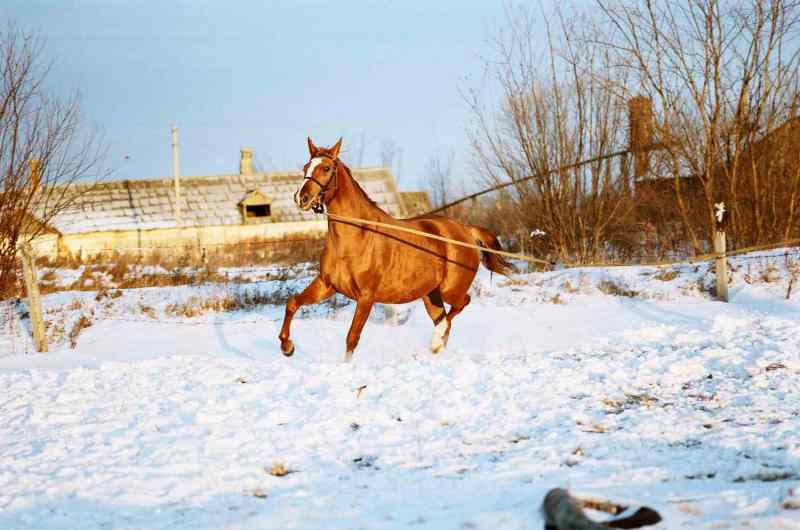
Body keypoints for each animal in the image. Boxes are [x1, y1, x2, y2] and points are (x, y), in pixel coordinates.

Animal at [278, 136, 516, 360]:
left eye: (326, 168)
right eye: (305, 167)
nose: (301, 197)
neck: (355, 237)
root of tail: (465, 230)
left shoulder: (366, 297)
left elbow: (352, 338)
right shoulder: (326, 285)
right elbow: (292, 303)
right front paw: (287, 347)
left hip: (450, 290)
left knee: (458, 307)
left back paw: (435, 341)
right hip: (431, 295)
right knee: (443, 319)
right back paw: (437, 347)